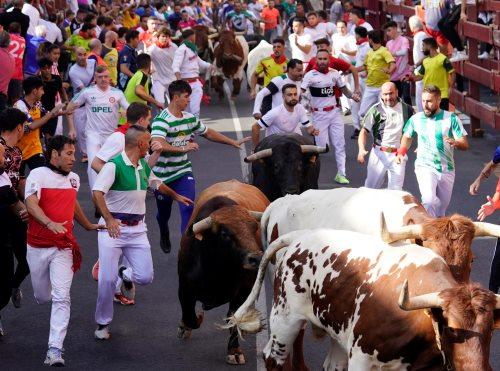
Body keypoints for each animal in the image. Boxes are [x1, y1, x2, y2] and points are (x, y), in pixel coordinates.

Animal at [177, 180, 270, 366]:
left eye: (254, 227)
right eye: (225, 233)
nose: (256, 258)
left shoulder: (242, 293)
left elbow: (233, 318)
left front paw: (234, 351)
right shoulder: (184, 289)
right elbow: (191, 317)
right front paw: (187, 324)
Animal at [228, 230, 500, 371]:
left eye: (490, 331)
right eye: (451, 329)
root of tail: (301, 234)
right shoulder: (362, 357)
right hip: (285, 319)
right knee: (273, 357)